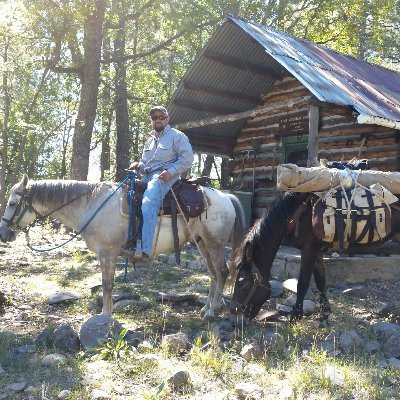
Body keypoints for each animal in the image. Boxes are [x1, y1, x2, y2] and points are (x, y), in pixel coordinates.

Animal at [0, 175, 245, 318]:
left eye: (12, 203)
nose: (3, 234)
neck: (93, 205)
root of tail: (226, 197)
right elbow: (107, 284)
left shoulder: (108, 253)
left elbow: (107, 285)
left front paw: (105, 315)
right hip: (202, 244)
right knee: (213, 274)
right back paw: (206, 307)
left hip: (214, 244)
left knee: (222, 272)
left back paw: (212, 311)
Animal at [230, 191, 400, 324]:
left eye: (241, 282)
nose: (234, 319)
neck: (297, 212)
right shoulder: (317, 252)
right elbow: (320, 283)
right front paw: (325, 315)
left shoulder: (309, 250)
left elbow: (303, 283)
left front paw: (295, 316)